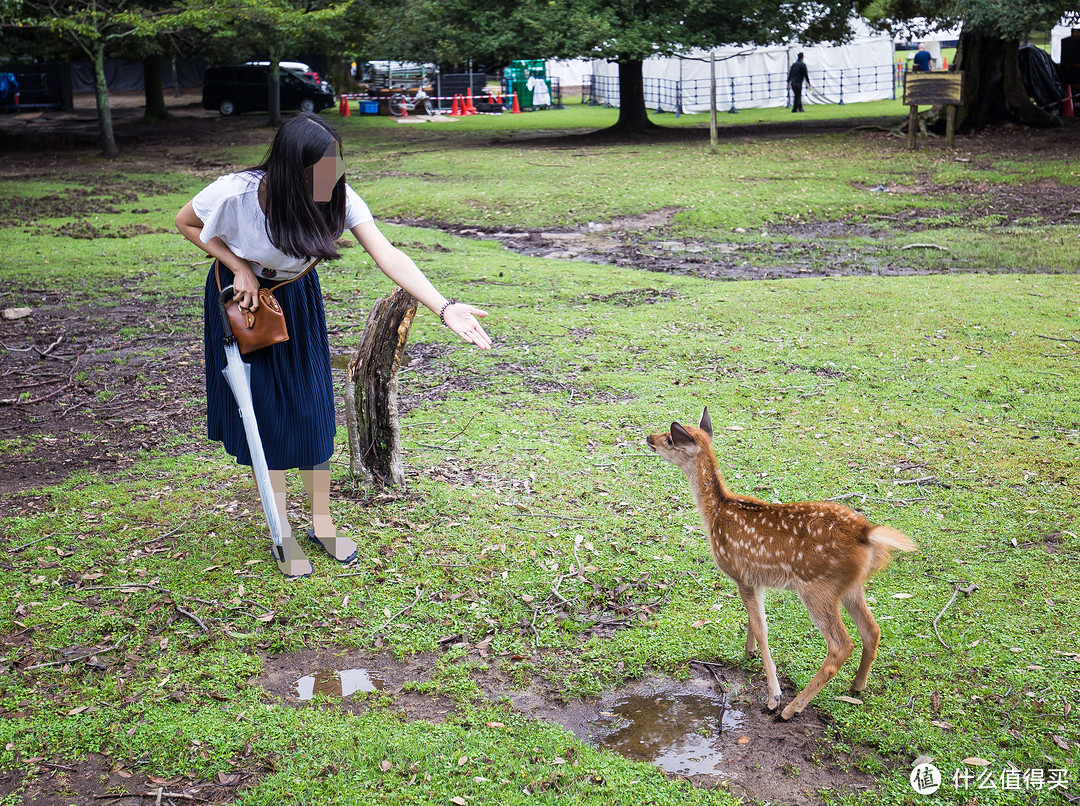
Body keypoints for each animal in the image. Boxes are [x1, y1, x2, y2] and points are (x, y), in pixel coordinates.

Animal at [643, 408, 915, 717]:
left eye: (669, 438)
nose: (649, 437)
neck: (715, 514)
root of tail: (866, 534)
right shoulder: (756, 581)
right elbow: (753, 621)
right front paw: (748, 652)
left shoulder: (742, 575)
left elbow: (763, 629)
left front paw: (773, 696)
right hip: (850, 586)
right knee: (872, 630)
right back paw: (856, 687)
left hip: (817, 587)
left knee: (841, 645)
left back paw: (792, 709)